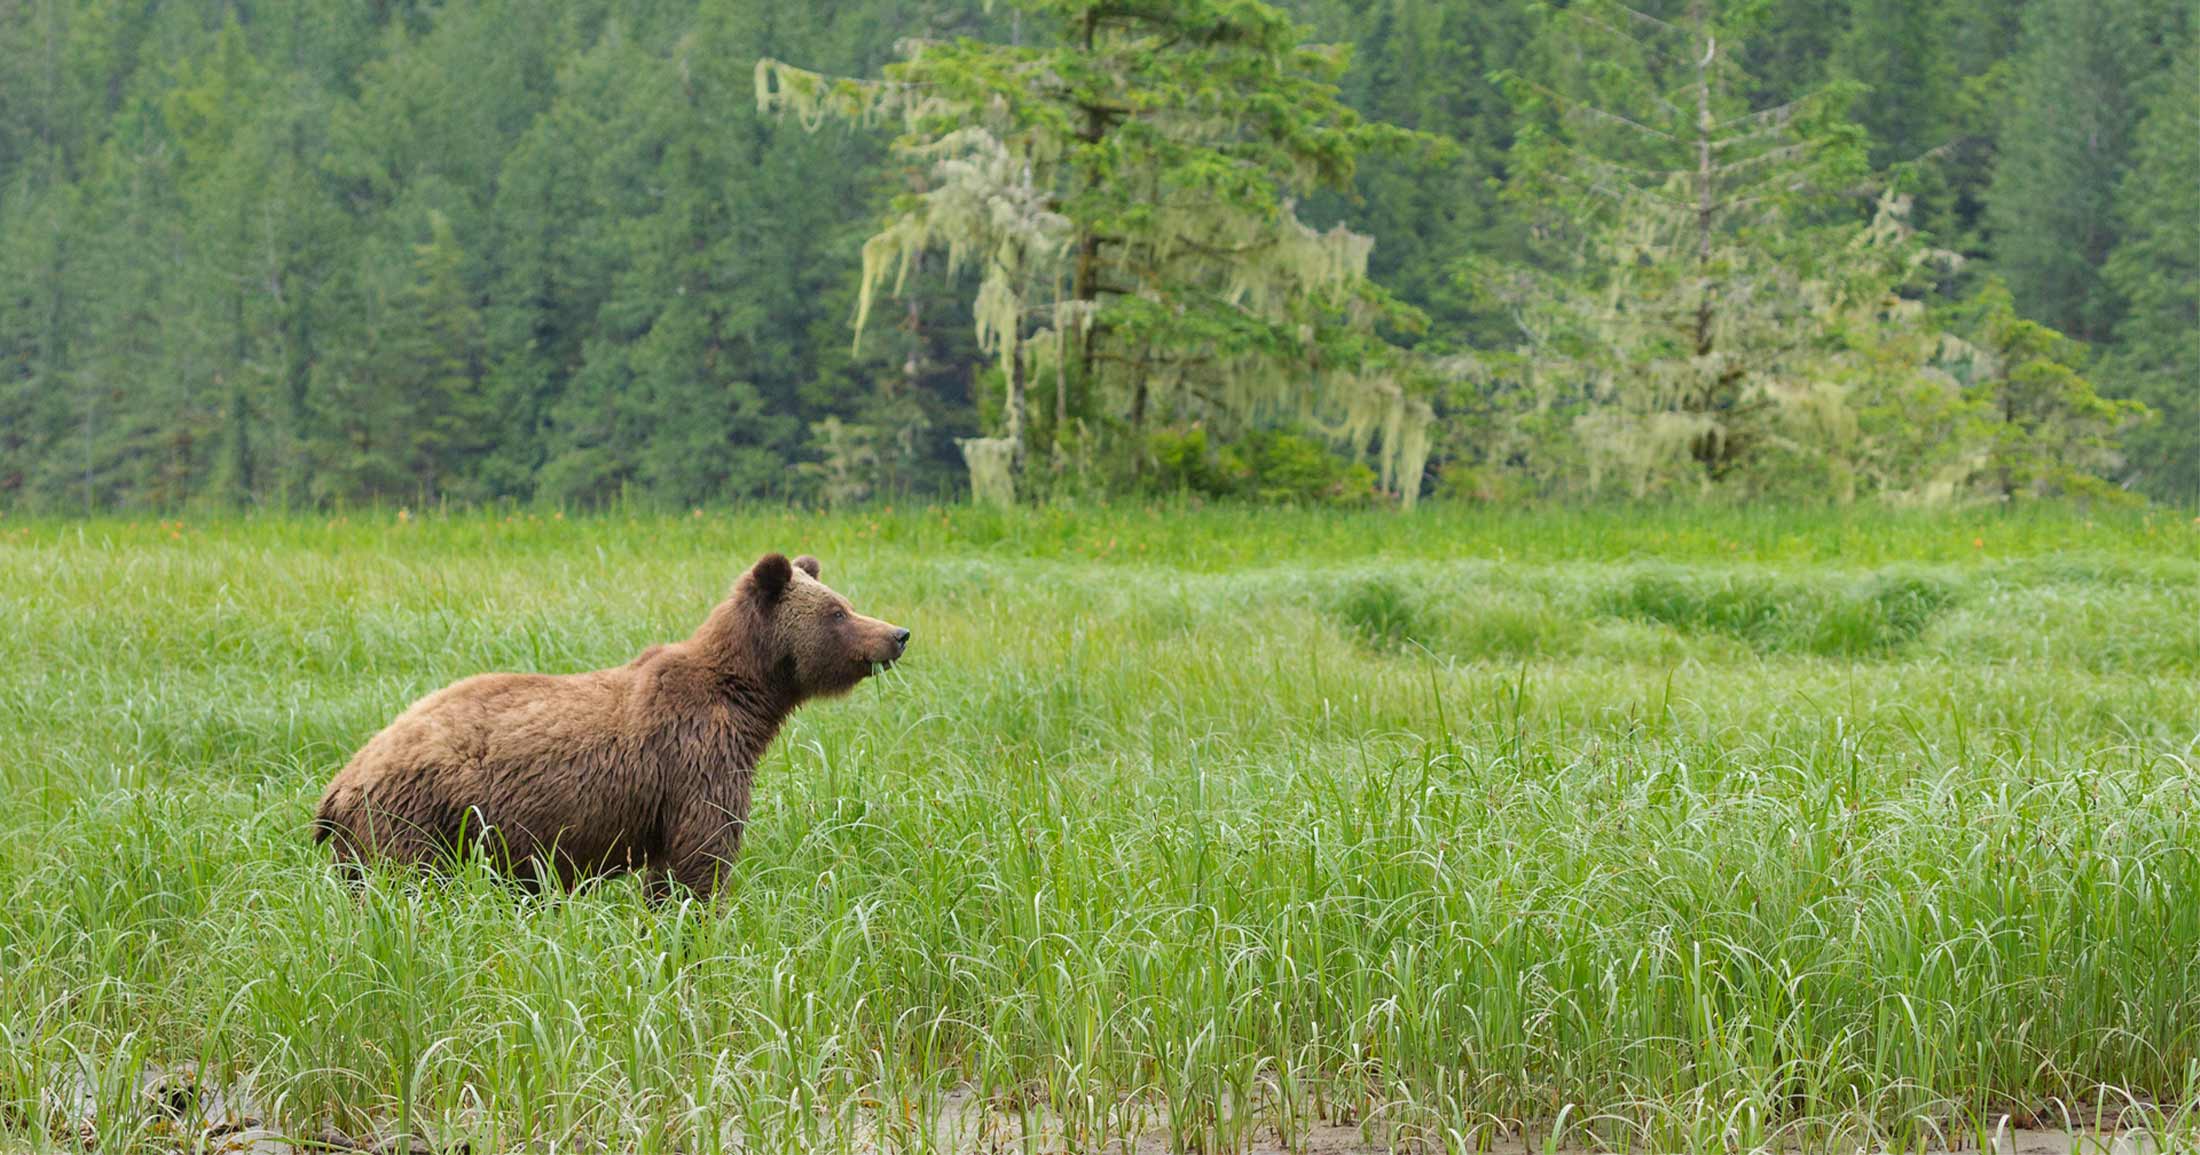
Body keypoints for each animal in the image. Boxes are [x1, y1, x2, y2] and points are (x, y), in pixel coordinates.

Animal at [312, 552, 908, 900]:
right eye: (838, 613)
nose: (897, 634)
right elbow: (700, 857)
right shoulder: (694, 760)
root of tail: (340, 782)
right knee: (407, 888)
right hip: (414, 819)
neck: (750, 700)